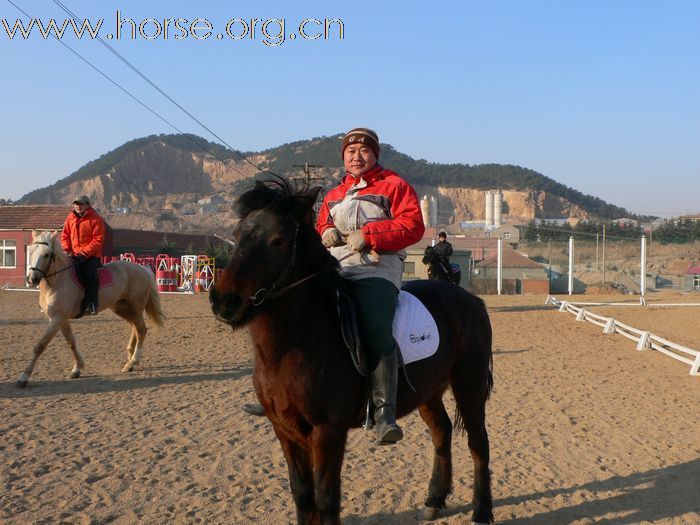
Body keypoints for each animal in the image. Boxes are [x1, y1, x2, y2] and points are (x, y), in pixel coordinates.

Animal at [18, 231, 167, 386]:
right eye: (31, 251)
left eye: (47, 254)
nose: (32, 279)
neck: (58, 281)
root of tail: (142, 269)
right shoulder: (61, 319)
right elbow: (71, 342)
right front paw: (77, 368)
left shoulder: (57, 318)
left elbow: (40, 346)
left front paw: (24, 377)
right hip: (121, 308)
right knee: (135, 327)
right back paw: (130, 359)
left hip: (136, 306)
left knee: (141, 330)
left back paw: (132, 362)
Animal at [208, 178, 492, 520]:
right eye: (237, 234)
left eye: (278, 240)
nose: (224, 301)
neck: (299, 342)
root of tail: (471, 301)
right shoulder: (285, 430)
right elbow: (303, 496)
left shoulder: (327, 431)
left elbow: (326, 500)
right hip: (428, 390)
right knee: (442, 432)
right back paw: (434, 500)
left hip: (469, 385)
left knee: (478, 444)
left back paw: (482, 512)